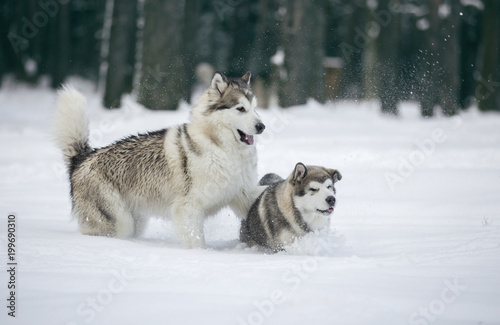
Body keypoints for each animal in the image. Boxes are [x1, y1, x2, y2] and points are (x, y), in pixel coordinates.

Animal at [52, 72, 266, 247]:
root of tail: (83, 157)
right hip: (119, 223)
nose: (262, 126)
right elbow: (197, 242)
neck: (223, 149)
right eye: (240, 108)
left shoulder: (243, 194)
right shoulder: (188, 208)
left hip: (136, 221)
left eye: (255, 108)